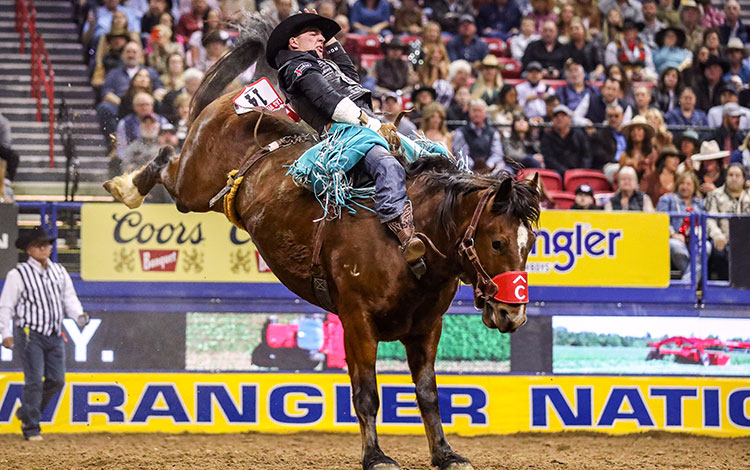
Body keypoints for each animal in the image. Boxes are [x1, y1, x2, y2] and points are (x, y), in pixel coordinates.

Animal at [104, 14, 540, 470]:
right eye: (497, 242)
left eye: (530, 243)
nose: (512, 314)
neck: (409, 239)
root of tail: (233, 105)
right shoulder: (357, 322)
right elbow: (366, 395)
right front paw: (376, 457)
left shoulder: (427, 327)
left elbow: (428, 395)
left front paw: (446, 454)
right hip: (192, 185)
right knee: (166, 163)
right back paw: (127, 185)